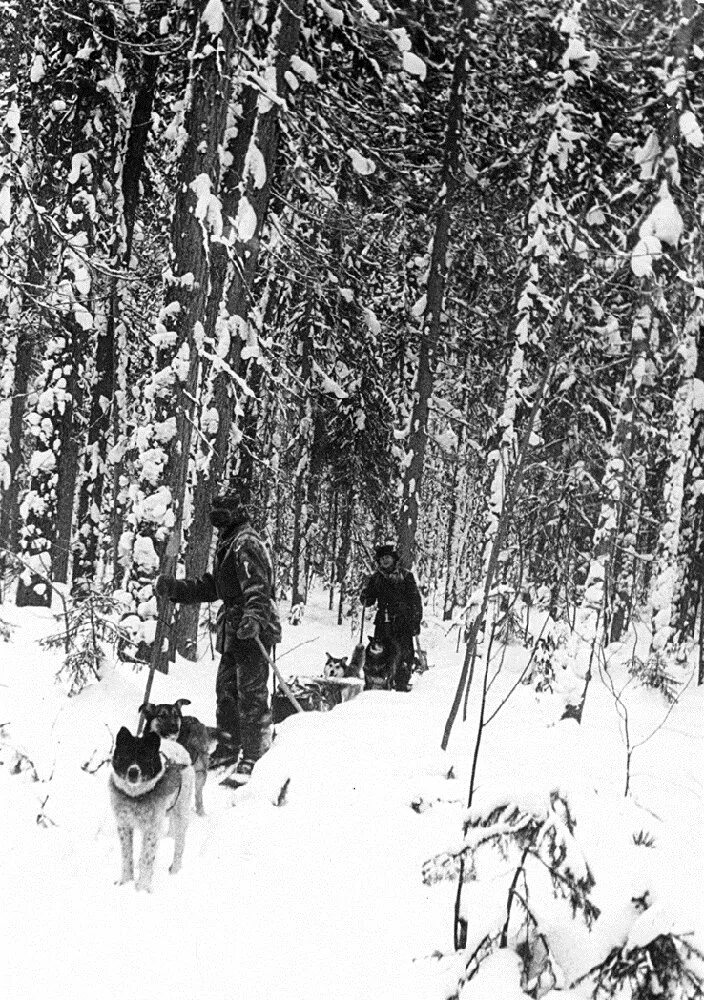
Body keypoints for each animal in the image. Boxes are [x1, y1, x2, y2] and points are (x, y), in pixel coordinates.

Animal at [108, 728, 194, 892]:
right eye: (126, 755)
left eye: (144, 758)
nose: (133, 772)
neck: (136, 797)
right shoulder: (124, 825)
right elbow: (127, 856)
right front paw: (125, 882)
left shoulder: (152, 828)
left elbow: (148, 857)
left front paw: (142, 888)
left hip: (181, 813)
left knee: (180, 844)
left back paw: (175, 870)